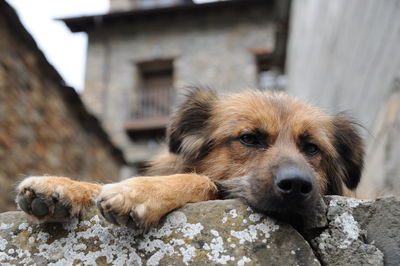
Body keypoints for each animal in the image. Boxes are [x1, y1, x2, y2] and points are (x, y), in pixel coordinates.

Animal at [17, 90, 364, 231]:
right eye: (249, 138)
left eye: (312, 148)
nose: (296, 185)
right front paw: (62, 186)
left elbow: (203, 180)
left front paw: (139, 192)